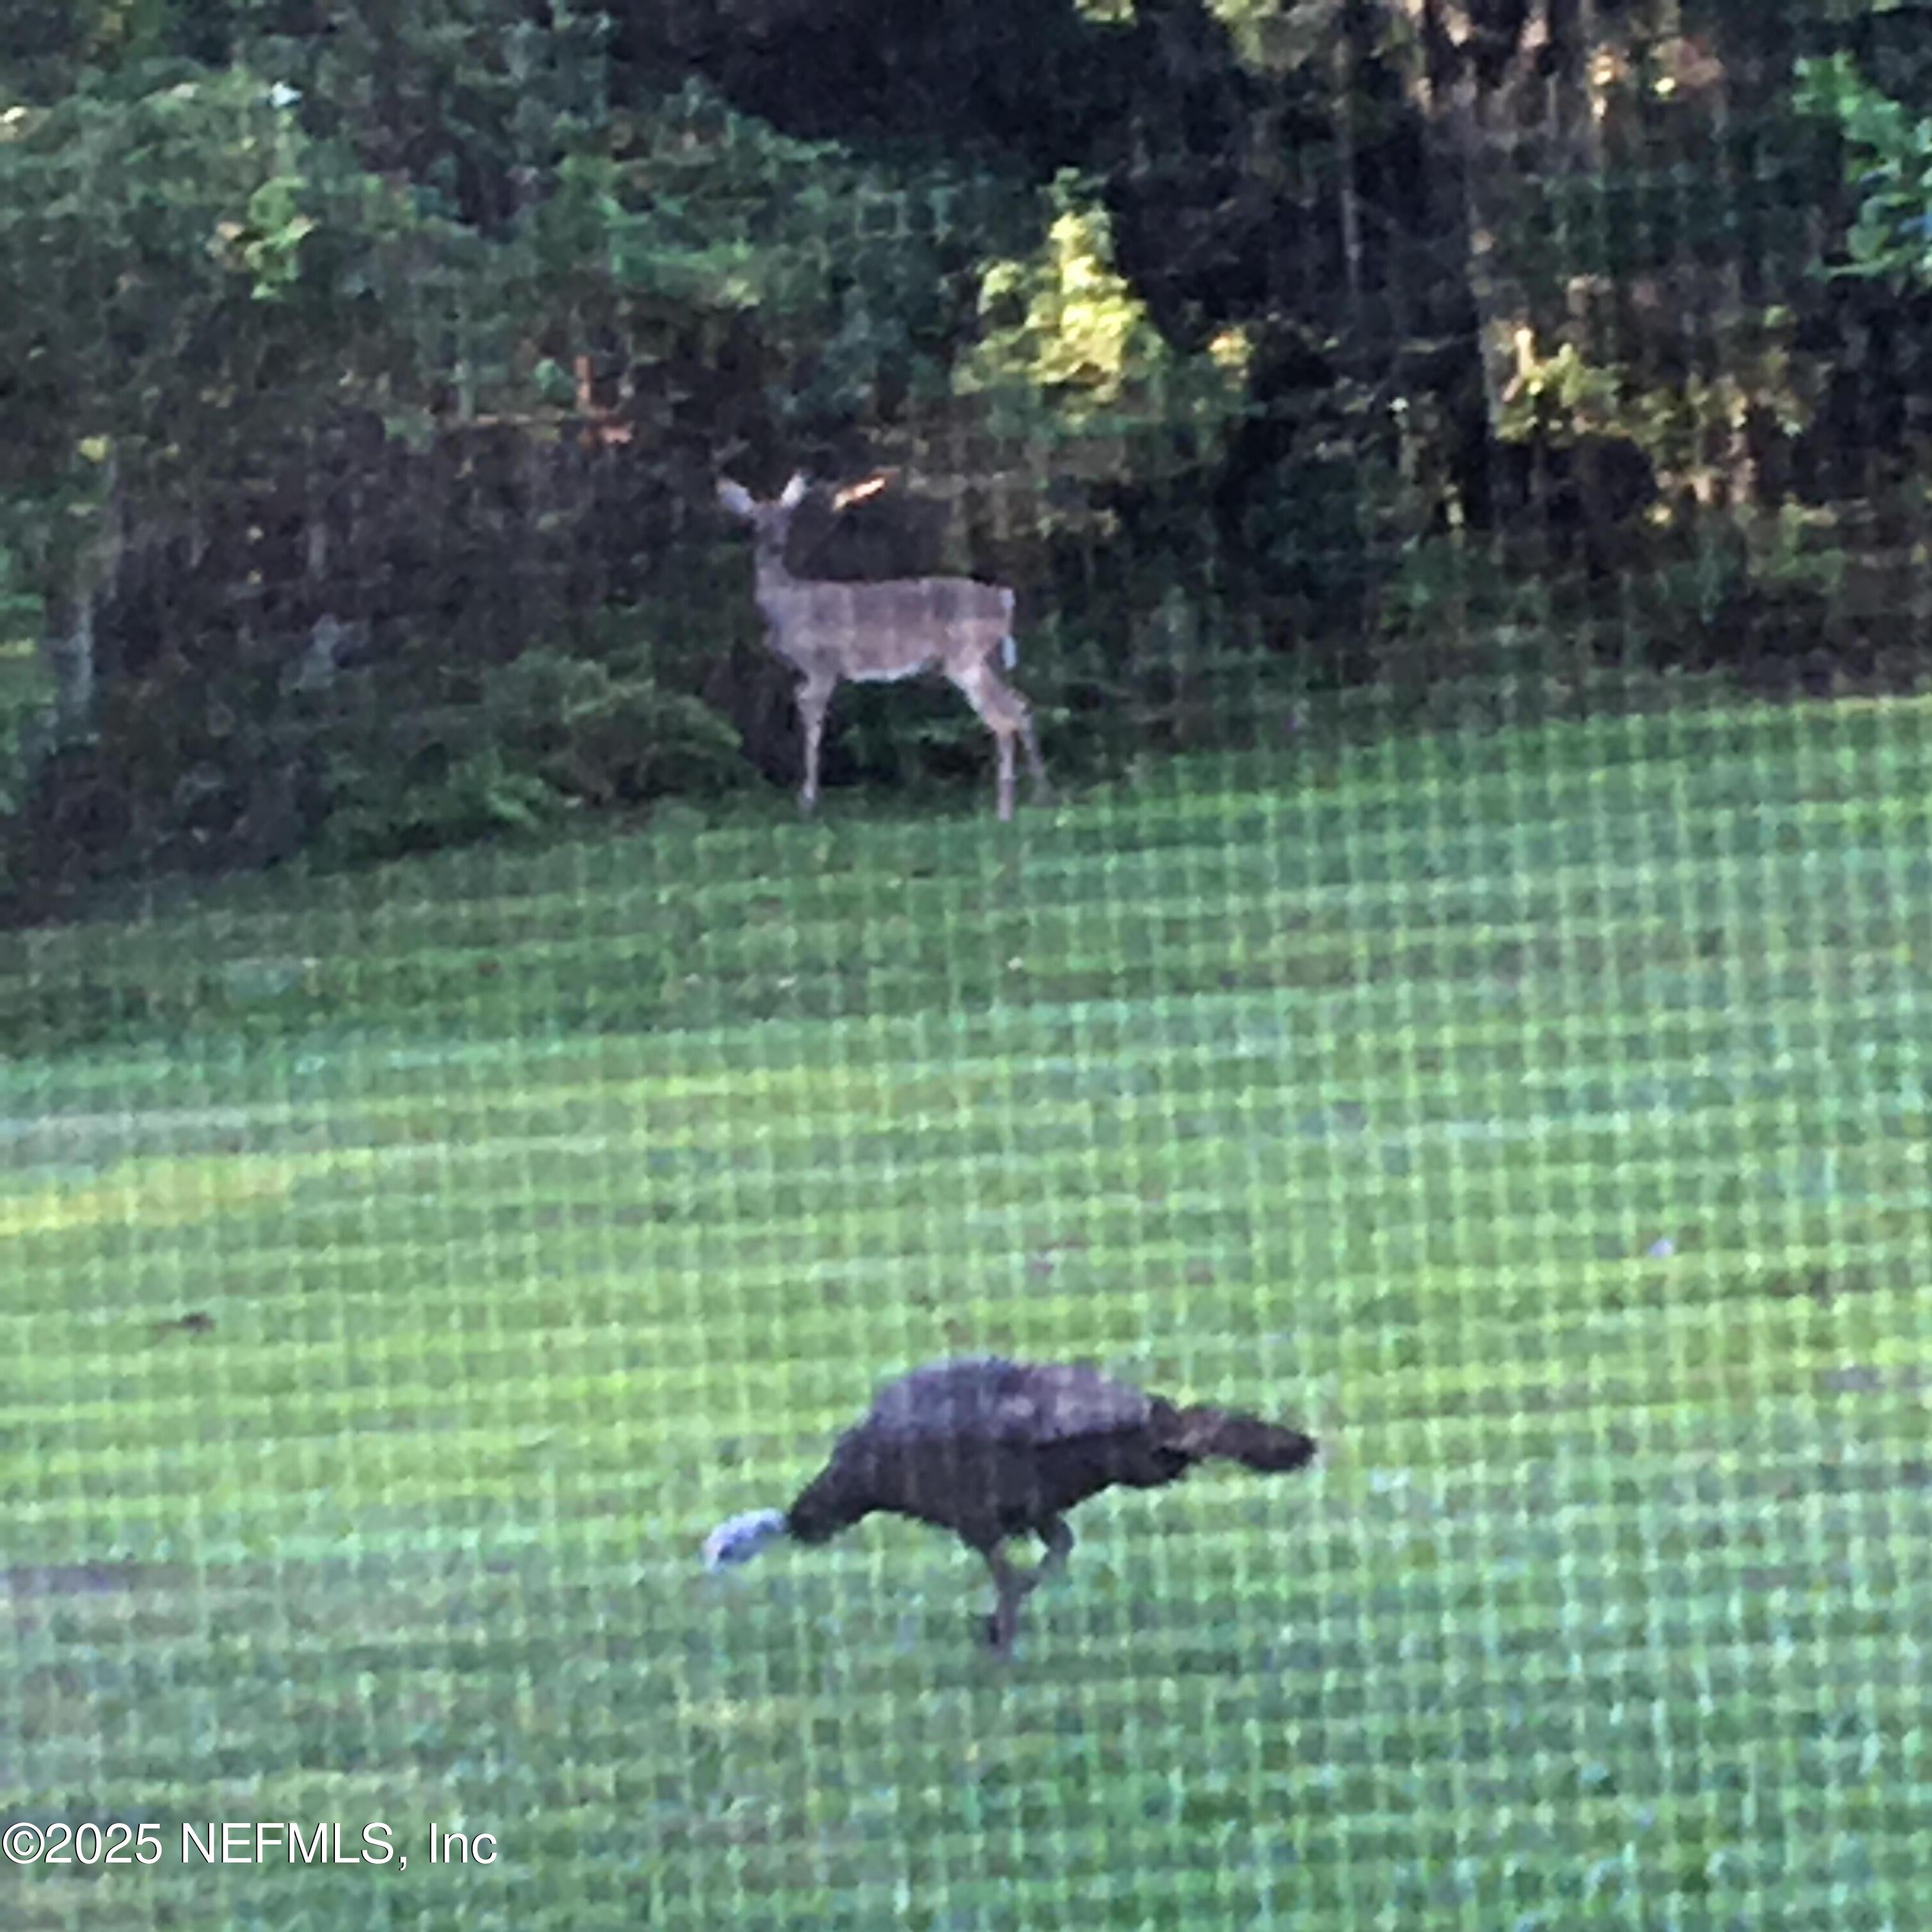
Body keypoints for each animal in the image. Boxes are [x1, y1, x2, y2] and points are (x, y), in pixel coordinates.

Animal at [716, 472, 1048, 822]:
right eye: (753, 520)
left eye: (787, 518)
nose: (775, 544)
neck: (786, 603)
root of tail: (1005, 599)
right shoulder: (807, 675)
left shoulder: (822, 666)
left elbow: (814, 727)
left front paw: (808, 802)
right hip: (991, 658)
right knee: (1022, 706)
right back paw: (1042, 796)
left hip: (967, 657)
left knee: (1003, 719)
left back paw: (1006, 810)